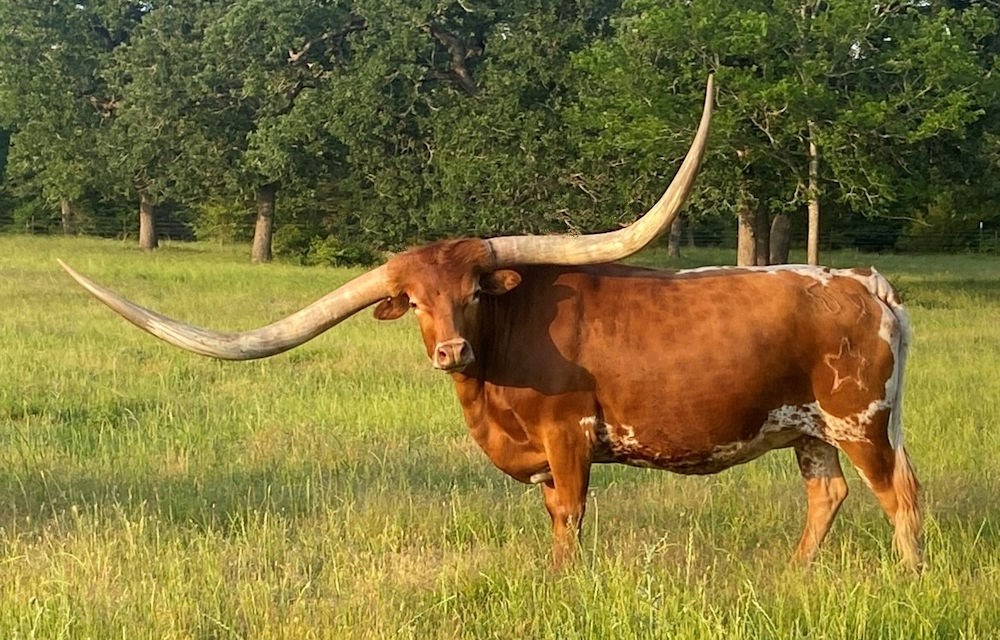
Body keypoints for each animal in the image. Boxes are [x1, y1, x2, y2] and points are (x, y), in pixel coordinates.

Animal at [59, 77, 922, 571]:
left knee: (900, 494)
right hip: (808, 428)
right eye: (414, 302)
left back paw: (911, 578)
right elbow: (554, 518)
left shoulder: (570, 436)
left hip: (861, 421)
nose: (450, 349)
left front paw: (565, 587)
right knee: (827, 495)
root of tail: (864, 282)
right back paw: (795, 576)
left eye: (475, 288)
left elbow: (572, 519)